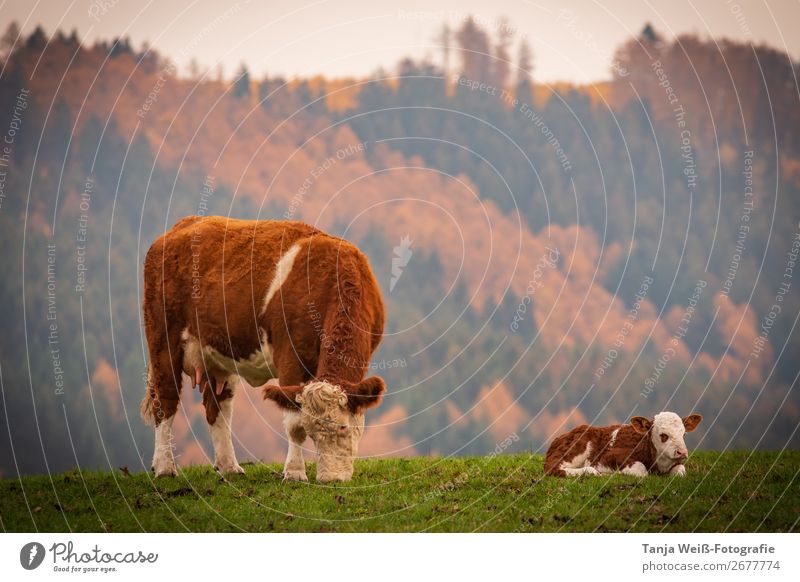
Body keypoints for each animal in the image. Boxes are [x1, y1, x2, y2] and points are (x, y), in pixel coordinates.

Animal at [141, 216, 388, 484]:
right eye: (312, 432)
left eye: (343, 426)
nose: (330, 478)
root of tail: (182, 225)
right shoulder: (289, 356)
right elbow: (294, 425)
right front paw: (295, 472)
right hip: (163, 339)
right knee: (165, 399)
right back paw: (165, 467)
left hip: (218, 355)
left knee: (217, 405)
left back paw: (229, 466)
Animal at [544, 410, 700, 480]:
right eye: (663, 435)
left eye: (684, 435)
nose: (682, 452)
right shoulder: (607, 457)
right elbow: (641, 470)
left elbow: (680, 470)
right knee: (554, 468)